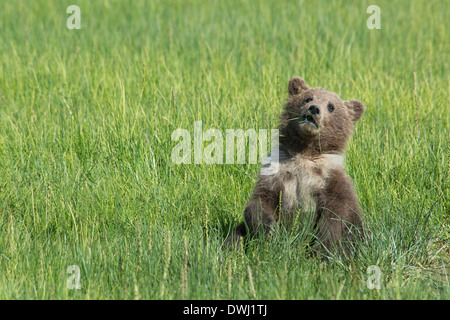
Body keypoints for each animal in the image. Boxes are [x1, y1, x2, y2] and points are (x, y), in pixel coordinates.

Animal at [225, 76, 366, 256]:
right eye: (308, 98)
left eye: (331, 106)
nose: (314, 109)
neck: (305, 152)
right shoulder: (276, 171)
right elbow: (260, 201)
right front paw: (269, 230)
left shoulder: (329, 179)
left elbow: (338, 213)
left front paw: (322, 248)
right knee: (237, 234)